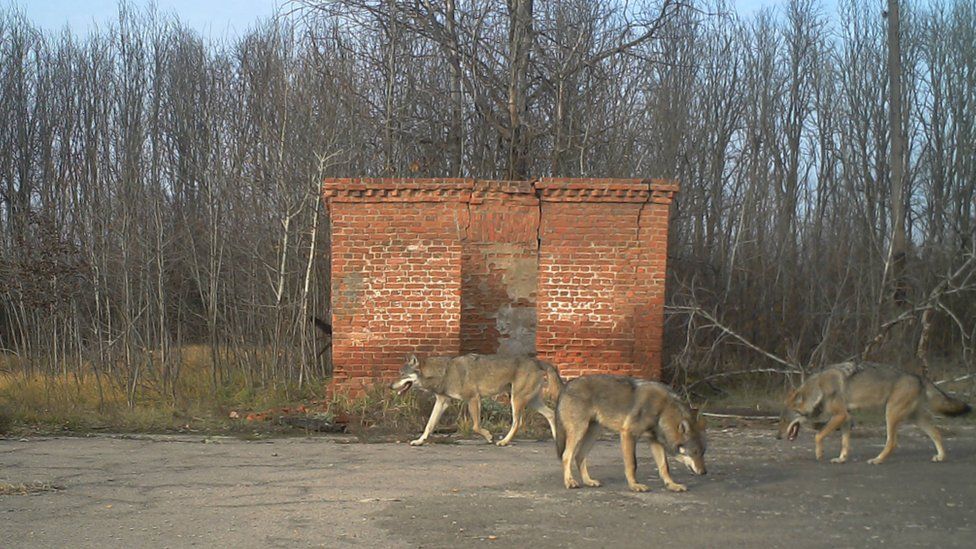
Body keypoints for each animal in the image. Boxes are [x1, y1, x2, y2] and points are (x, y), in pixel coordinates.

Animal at [386, 354, 560, 448]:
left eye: (401, 374)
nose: (389, 386)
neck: (445, 372)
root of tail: (537, 361)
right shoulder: (442, 402)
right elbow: (429, 425)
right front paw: (419, 441)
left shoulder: (473, 399)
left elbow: (476, 426)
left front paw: (489, 437)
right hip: (530, 401)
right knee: (551, 414)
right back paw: (556, 438)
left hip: (516, 400)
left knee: (518, 422)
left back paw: (503, 442)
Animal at [552, 374, 704, 490]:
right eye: (695, 452)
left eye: (703, 453)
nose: (704, 472)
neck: (662, 410)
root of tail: (566, 385)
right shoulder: (628, 434)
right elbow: (632, 464)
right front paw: (634, 485)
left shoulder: (654, 441)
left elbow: (664, 467)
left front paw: (672, 485)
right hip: (579, 432)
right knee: (566, 456)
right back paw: (570, 482)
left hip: (593, 434)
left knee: (579, 457)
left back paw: (588, 481)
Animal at [780, 362, 972, 464]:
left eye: (784, 420)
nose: (777, 437)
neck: (818, 390)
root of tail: (919, 377)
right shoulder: (846, 419)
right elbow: (844, 443)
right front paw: (841, 459)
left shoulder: (840, 415)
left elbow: (818, 436)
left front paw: (819, 454)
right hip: (915, 418)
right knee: (937, 433)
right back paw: (941, 456)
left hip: (890, 414)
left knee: (892, 443)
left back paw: (877, 460)